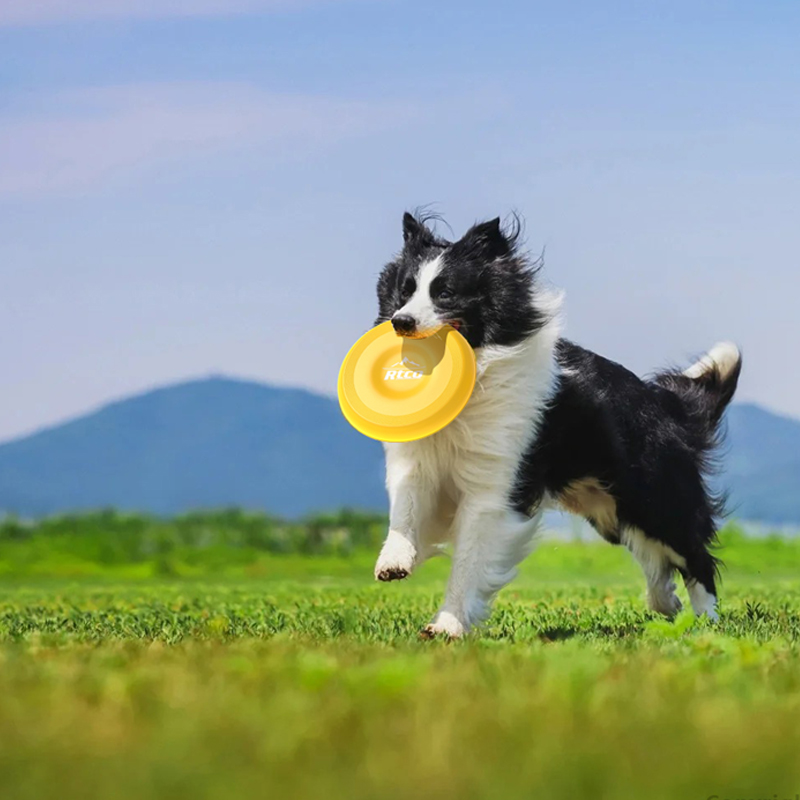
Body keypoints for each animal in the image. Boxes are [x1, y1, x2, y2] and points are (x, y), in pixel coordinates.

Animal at [372, 211, 740, 636]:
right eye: (404, 291)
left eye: (444, 293)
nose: (400, 322)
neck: (473, 373)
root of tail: (670, 405)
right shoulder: (418, 460)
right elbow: (406, 507)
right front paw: (394, 560)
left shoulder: (496, 484)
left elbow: (469, 560)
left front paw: (447, 626)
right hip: (609, 511)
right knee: (653, 557)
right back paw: (665, 602)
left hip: (654, 495)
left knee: (693, 553)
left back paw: (707, 620)